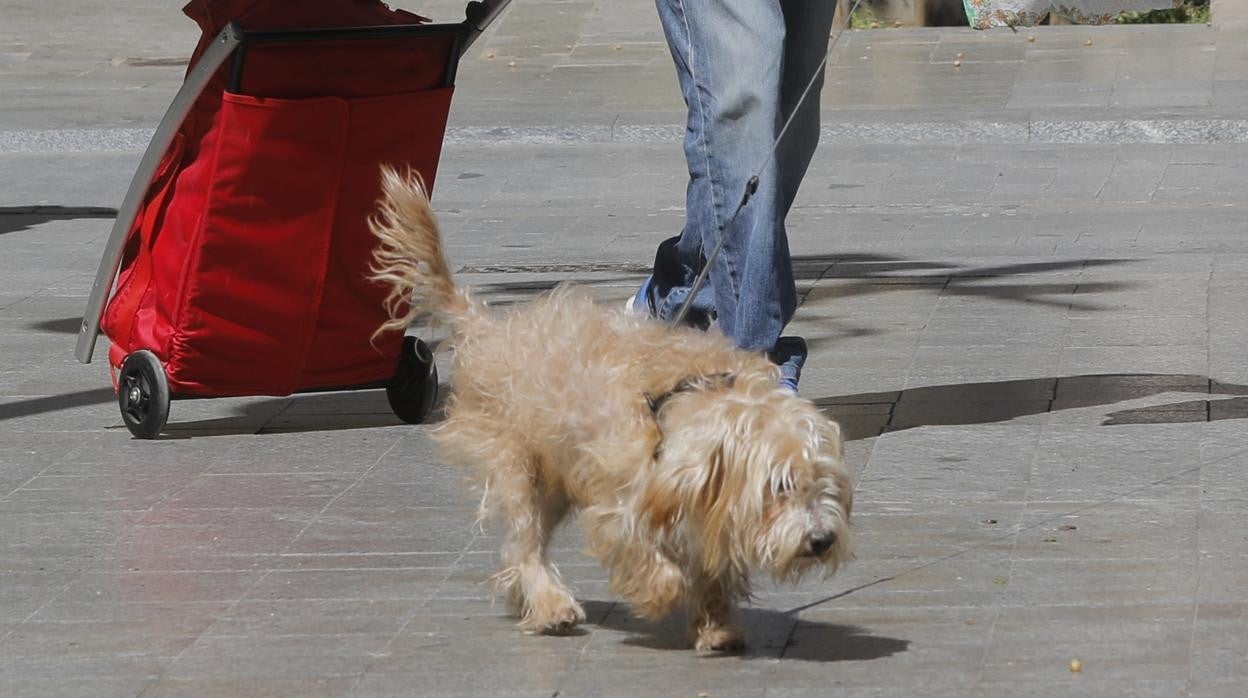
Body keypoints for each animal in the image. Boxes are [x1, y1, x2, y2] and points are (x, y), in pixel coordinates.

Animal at [369, 166, 853, 654]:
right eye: (779, 486)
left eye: (823, 483)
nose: (822, 540)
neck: (690, 402)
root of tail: (489, 327)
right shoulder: (620, 505)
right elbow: (647, 555)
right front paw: (662, 592)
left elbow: (712, 570)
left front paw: (716, 625)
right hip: (520, 469)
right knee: (525, 543)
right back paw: (550, 604)